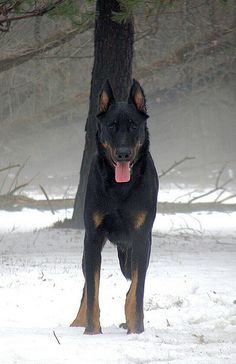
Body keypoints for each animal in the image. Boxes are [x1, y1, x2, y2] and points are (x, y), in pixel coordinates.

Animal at [70, 80, 159, 336]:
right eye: (111, 126)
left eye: (133, 125)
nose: (123, 154)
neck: (120, 188)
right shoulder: (92, 237)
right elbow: (92, 290)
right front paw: (92, 330)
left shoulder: (141, 239)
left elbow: (137, 291)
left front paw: (136, 329)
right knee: (87, 285)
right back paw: (78, 320)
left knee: (133, 284)